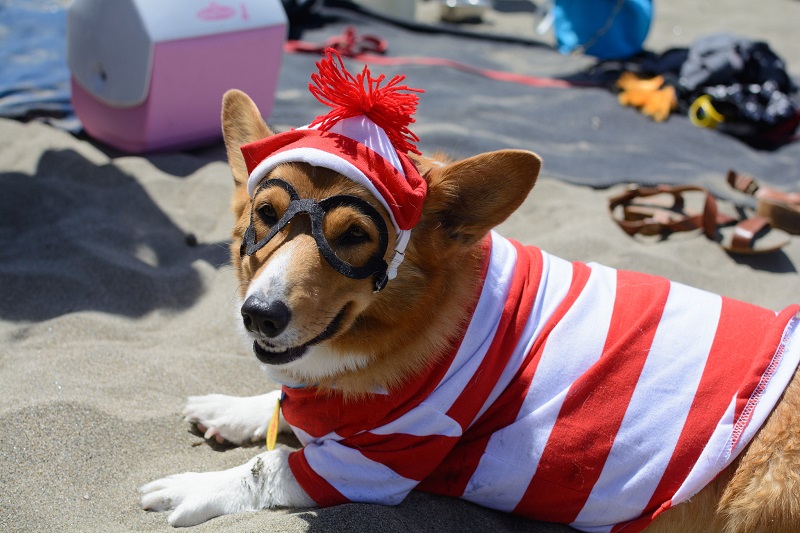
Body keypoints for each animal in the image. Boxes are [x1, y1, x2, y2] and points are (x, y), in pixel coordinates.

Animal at [141, 53, 800, 528]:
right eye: (267, 214)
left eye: (354, 235)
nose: (259, 316)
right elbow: (279, 405)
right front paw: (228, 409)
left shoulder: (378, 460)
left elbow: (270, 464)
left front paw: (192, 487)